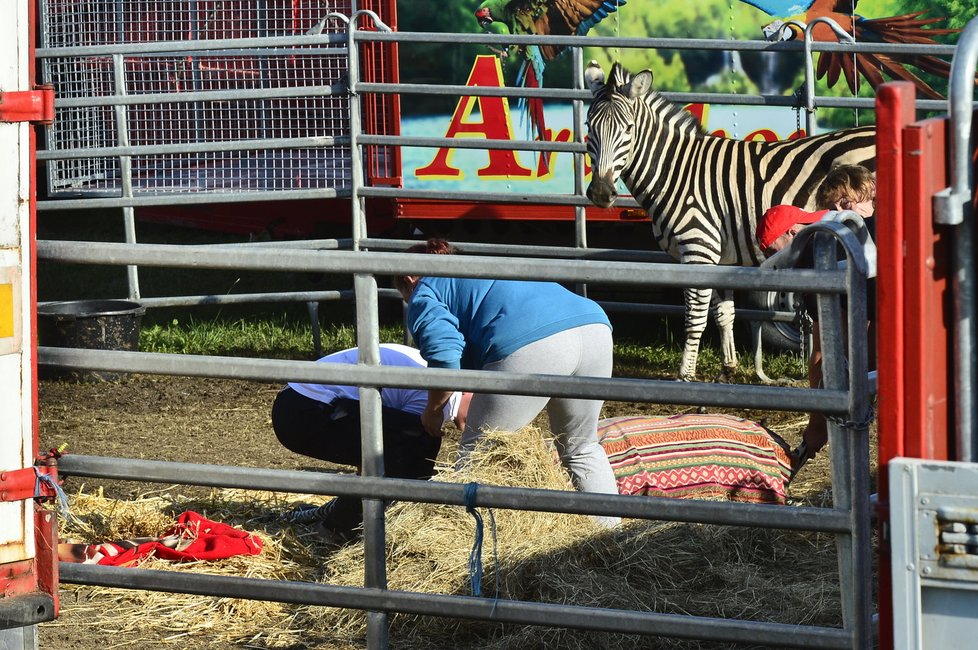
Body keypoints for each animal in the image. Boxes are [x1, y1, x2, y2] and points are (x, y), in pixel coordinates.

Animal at [584, 60, 872, 380]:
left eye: (628, 129)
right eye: (589, 127)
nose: (601, 192)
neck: (677, 172)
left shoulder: (698, 248)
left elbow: (695, 317)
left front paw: (685, 375)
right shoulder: (721, 257)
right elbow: (724, 313)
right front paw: (728, 368)